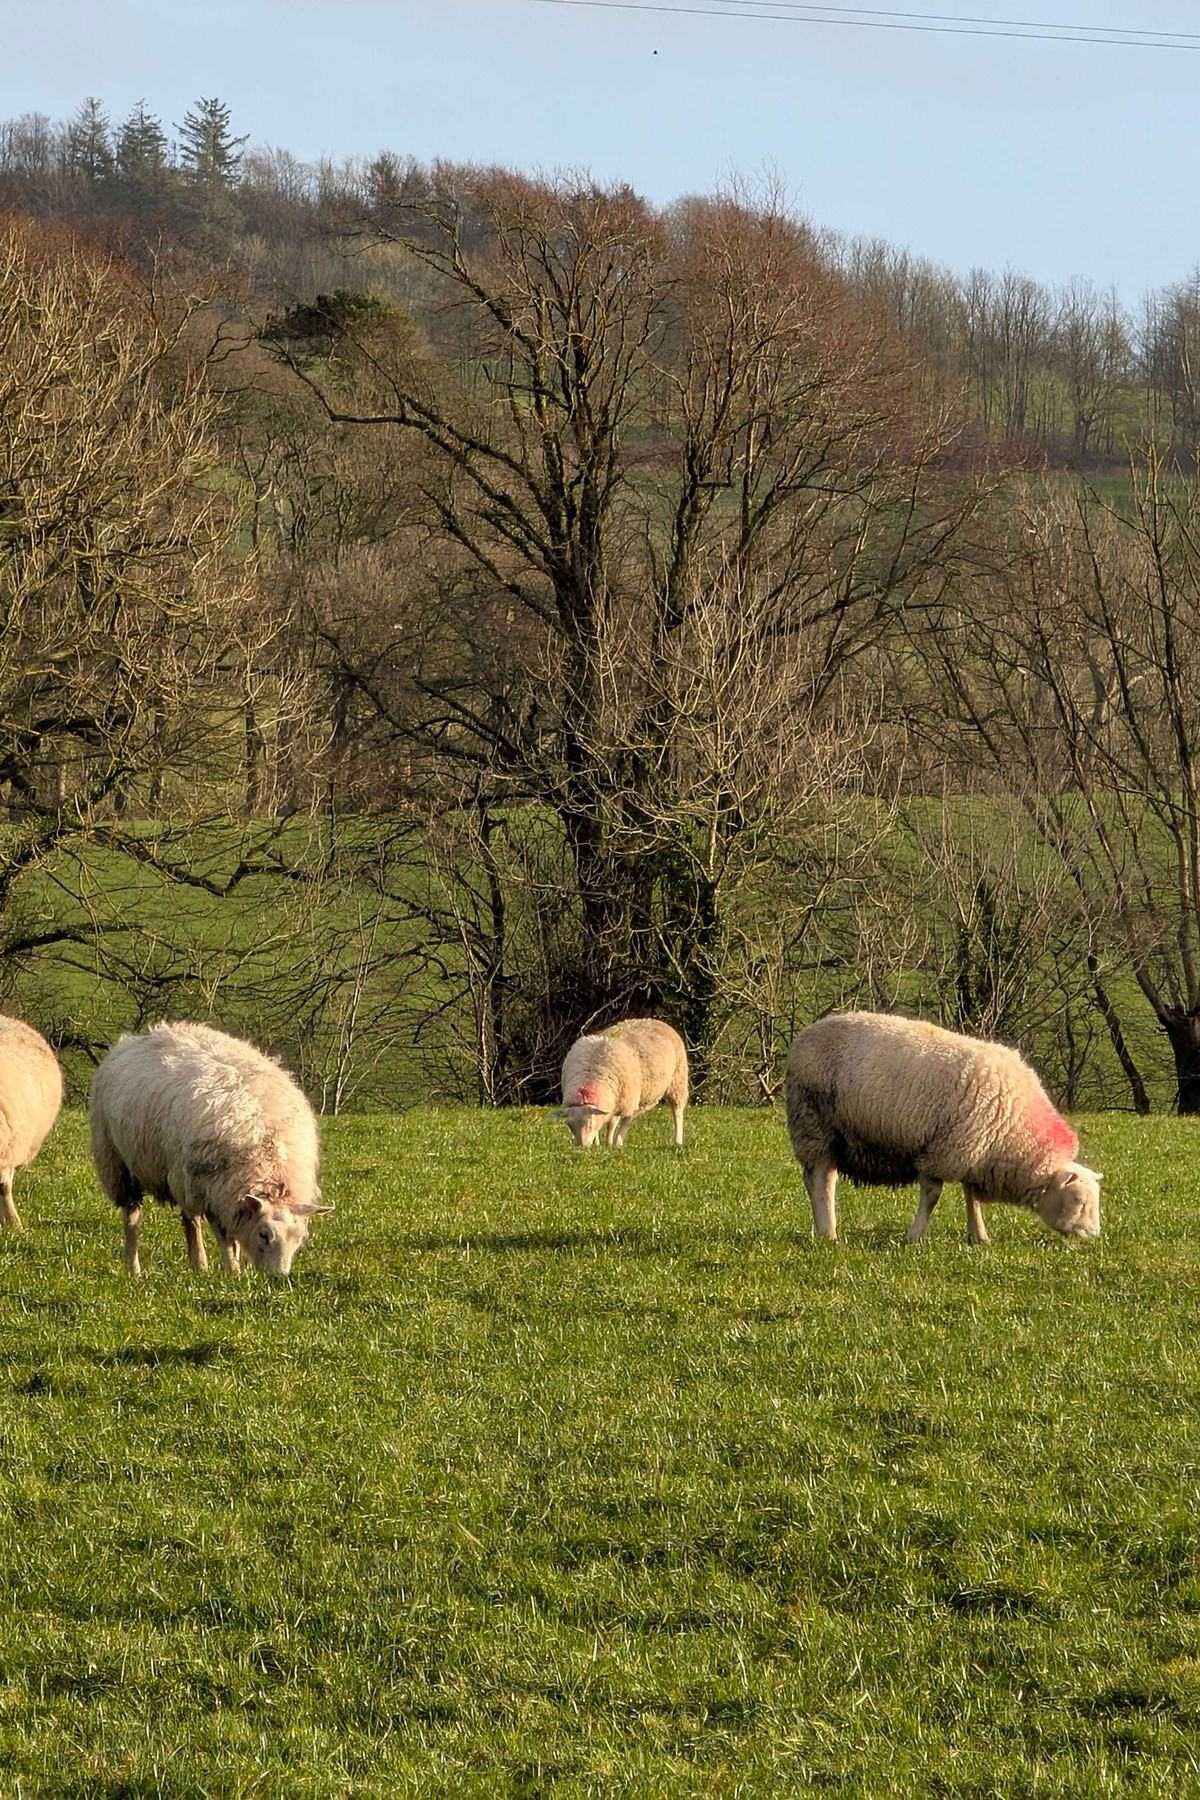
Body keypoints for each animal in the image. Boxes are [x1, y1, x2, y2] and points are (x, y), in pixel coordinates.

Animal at [89, 1021, 331, 1277]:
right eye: (264, 1235)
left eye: (299, 1239)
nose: (278, 1277)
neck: (267, 1150)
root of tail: (144, 1035)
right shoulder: (213, 1189)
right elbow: (223, 1235)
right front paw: (232, 1271)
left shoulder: (229, 1194)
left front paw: (234, 1267)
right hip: (121, 1163)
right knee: (138, 1217)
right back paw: (138, 1268)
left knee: (187, 1218)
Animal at [560, 1017, 688, 1149]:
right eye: (570, 1126)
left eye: (590, 1125)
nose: (581, 1148)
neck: (592, 1073)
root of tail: (654, 1020)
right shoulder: (615, 1101)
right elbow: (611, 1124)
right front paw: (602, 1144)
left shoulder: (627, 1102)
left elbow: (619, 1125)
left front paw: (615, 1145)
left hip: (677, 1082)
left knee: (677, 1112)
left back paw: (678, 1141)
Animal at [785, 1010, 1101, 1246]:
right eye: (1078, 1200)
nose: (1094, 1235)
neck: (1015, 1133)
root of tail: (805, 1035)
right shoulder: (942, 1151)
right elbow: (932, 1196)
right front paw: (915, 1237)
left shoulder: (973, 1151)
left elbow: (972, 1196)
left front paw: (979, 1236)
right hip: (814, 1123)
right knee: (823, 1180)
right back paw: (829, 1232)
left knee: (814, 1178)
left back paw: (821, 1229)